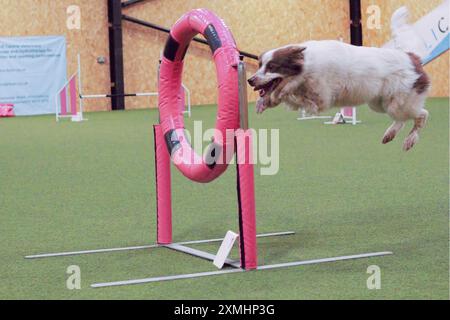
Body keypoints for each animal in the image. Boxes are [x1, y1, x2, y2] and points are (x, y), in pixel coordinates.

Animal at [248, 8, 430, 151]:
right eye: (260, 65)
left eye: (272, 67)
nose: (250, 80)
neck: (306, 66)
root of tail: (410, 56)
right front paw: (263, 103)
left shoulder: (320, 98)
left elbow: (288, 94)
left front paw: (271, 98)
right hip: (380, 103)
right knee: (402, 119)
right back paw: (389, 135)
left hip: (400, 103)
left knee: (421, 114)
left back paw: (409, 141)